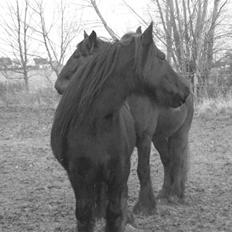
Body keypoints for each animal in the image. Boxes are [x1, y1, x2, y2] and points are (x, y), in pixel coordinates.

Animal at [51, 22, 190, 231]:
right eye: (162, 57)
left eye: (77, 55)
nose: (58, 85)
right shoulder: (83, 173)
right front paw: (123, 214)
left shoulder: (140, 143)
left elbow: (142, 171)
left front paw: (143, 208)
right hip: (160, 138)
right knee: (168, 160)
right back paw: (165, 193)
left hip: (179, 135)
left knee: (178, 160)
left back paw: (177, 194)